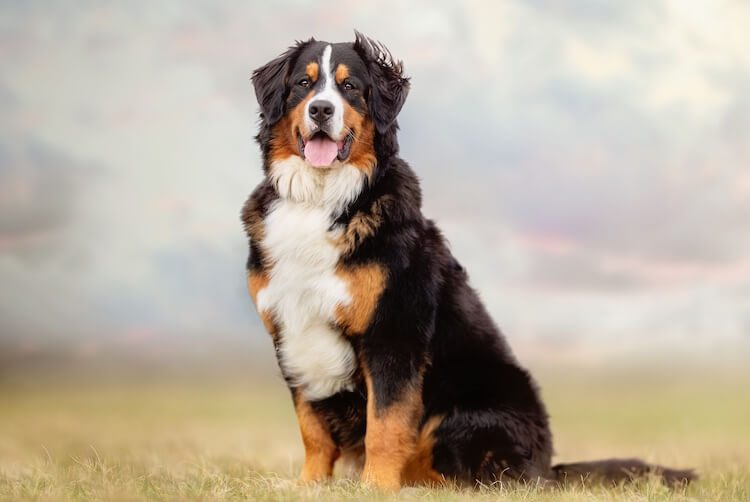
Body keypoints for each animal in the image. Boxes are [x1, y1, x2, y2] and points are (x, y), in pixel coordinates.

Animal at [242, 30, 700, 490]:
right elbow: (312, 429)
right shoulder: (291, 332)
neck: (320, 199)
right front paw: (308, 485)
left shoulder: (393, 331)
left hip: (471, 412)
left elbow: (385, 424)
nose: (321, 109)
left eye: (350, 86)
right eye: (304, 84)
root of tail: (546, 467)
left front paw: (376, 487)